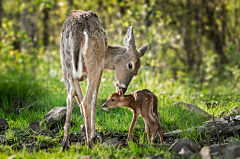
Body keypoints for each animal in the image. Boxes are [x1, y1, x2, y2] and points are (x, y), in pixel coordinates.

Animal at [59, 10, 148, 151]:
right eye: (131, 66)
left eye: (136, 72)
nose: (123, 88)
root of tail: (77, 31)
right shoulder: (100, 68)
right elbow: (94, 99)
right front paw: (93, 134)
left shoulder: (75, 76)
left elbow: (77, 97)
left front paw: (86, 129)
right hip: (94, 63)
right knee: (87, 100)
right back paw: (90, 144)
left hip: (65, 62)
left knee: (70, 96)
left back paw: (64, 144)